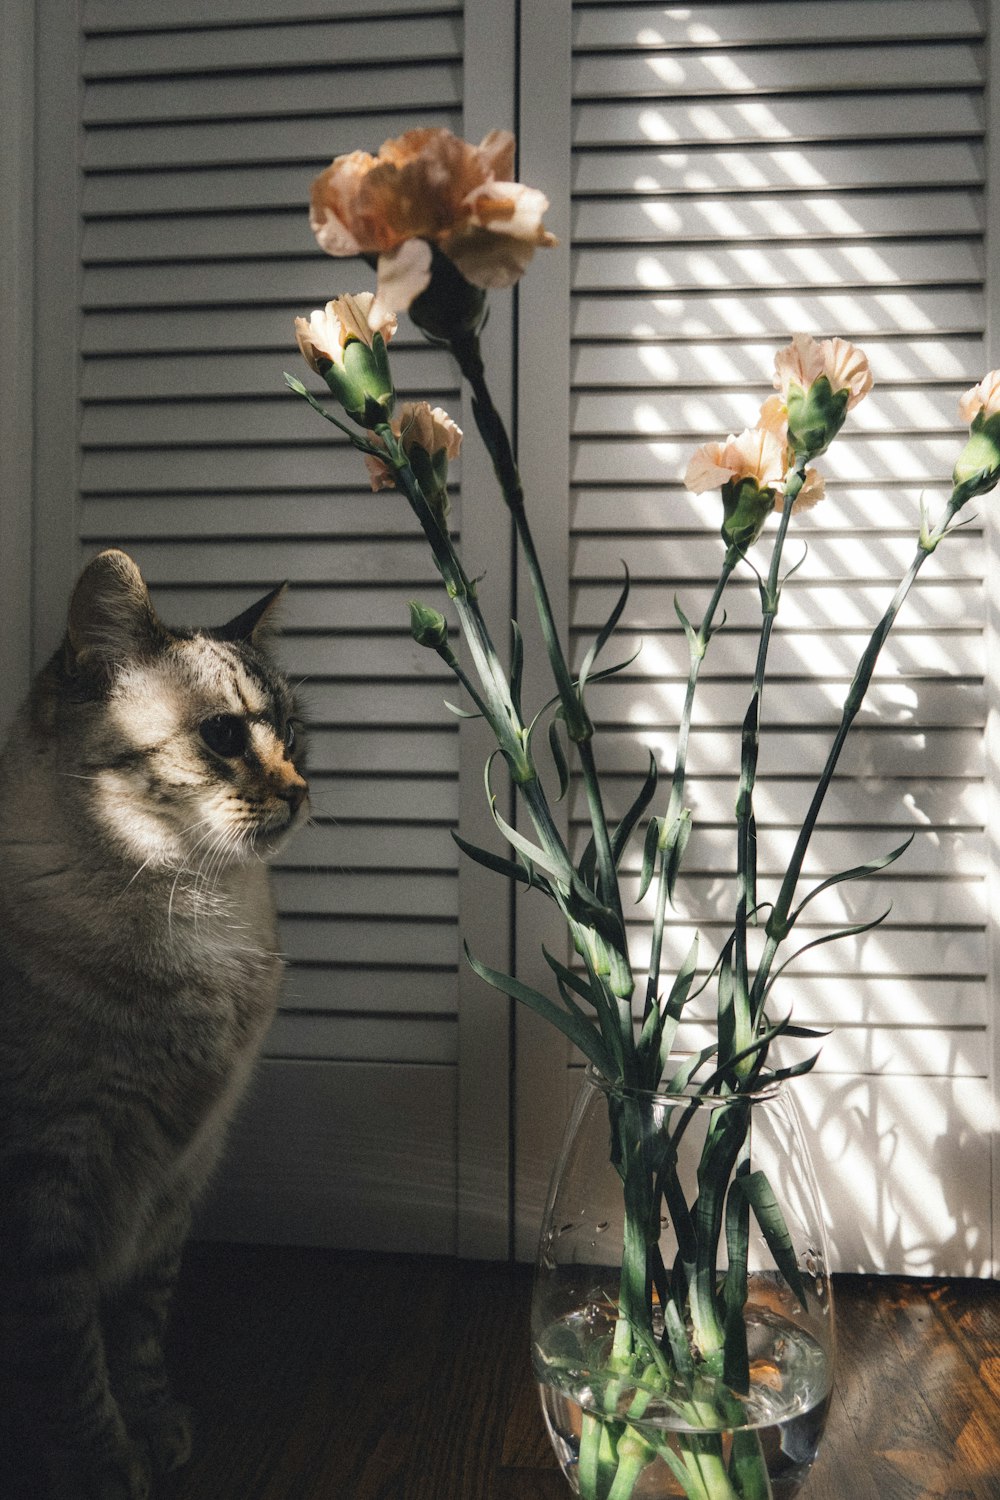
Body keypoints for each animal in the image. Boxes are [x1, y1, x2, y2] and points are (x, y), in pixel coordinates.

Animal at [0, 552, 308, 1500]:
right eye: (223, 736)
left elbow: (136, 1334)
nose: (301, 793)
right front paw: (103, 1468)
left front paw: (157, 1430)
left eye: (296, 734)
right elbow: (69, 1359)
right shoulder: (51, 1178)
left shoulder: (175, 1178)